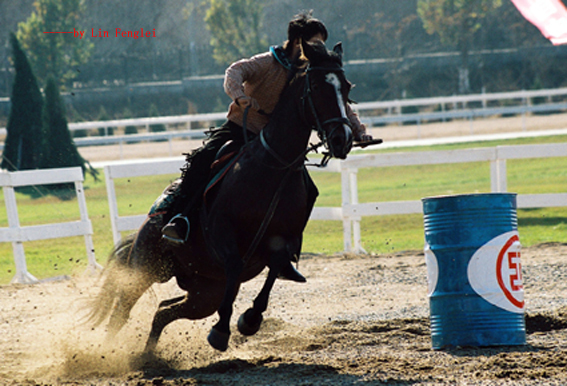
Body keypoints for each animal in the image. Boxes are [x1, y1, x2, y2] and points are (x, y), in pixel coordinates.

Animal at [89, 38, 356, 352]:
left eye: (346, 87)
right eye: (316, 86)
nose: (342, 138)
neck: (272, 167)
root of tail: (149, 220)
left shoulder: (282, 241)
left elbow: (275, 269)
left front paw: (250, 319)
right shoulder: (223, 232)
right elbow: (235, 265)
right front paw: (220, 331)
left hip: (203, 293)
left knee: (163, 312)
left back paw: (148, 357)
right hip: (145, 269)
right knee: (121, 312)